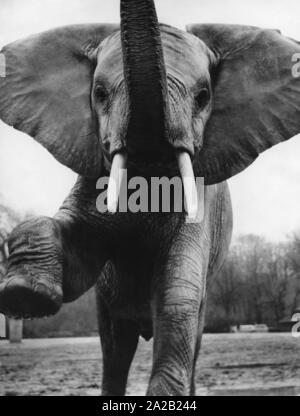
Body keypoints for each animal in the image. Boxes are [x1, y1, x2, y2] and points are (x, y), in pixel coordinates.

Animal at [0, 0, 300, 396]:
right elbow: (79, 260)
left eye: (203, 97)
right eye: (100, 93)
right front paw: (23, 295)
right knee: (114, 349)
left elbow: (177, 298)